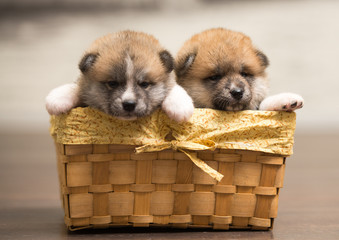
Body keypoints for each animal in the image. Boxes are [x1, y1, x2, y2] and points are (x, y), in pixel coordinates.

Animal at [45, 30, 194, 122]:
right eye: (112, 83)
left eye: (144, 84)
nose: (129, 104)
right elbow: (76, 87)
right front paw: (59, 97)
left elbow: (174, 87)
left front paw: (179, 105)